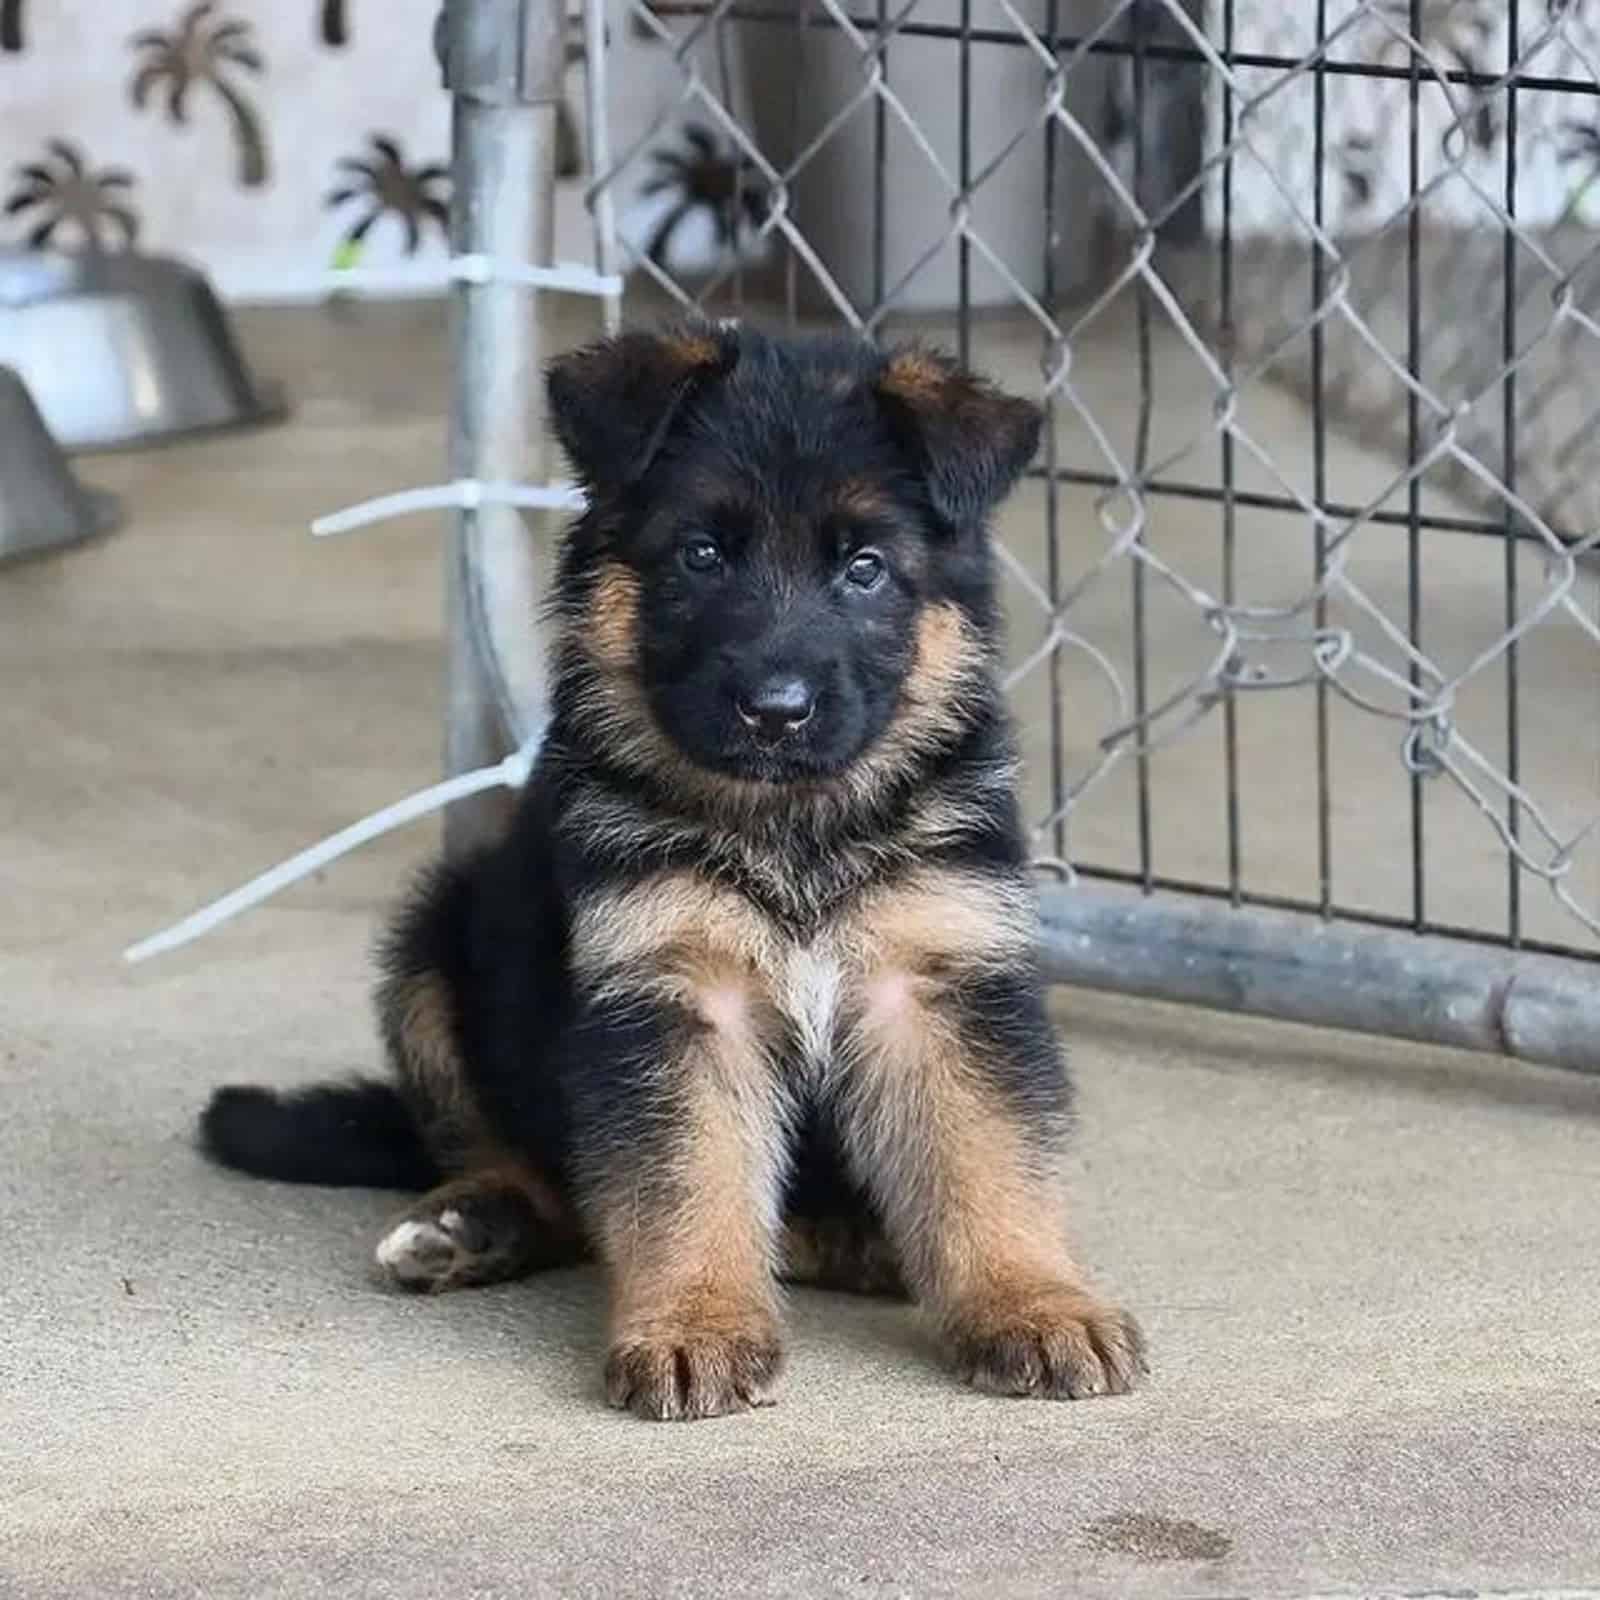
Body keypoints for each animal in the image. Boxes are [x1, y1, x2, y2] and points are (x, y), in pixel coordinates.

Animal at [200, 318, 1145, 1420]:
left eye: (866, 567)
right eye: (701, 555)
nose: (775, 710)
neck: (793, 826)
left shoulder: (939, 979)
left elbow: (986, 1154)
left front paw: (1033, 1301)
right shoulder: (673, 998)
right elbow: (683, 1176)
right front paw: (694, 1322)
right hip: (437, 946)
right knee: (532, 1168)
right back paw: (472, 1222)